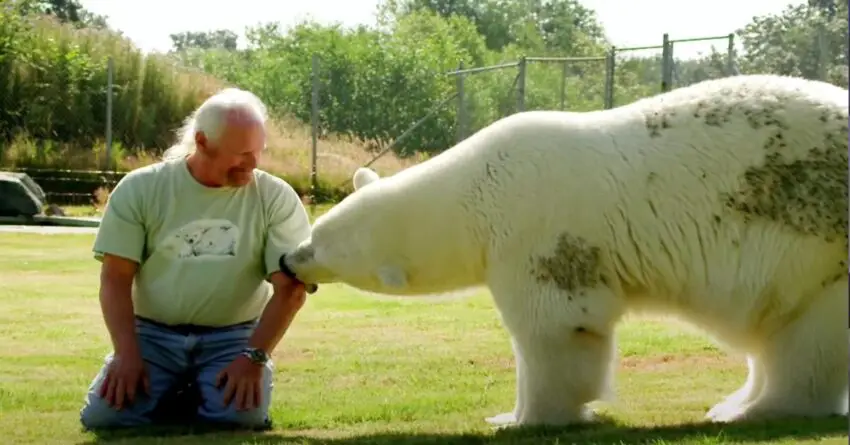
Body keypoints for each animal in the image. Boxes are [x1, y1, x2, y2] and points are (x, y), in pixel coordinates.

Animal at [280, 75, 848, 426]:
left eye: (319, 244)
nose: (287, 260)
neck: (476, 188)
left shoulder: (536, 234)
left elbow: (556, 326)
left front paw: (519, 418)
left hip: (822, 248)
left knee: (807, 338)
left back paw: (756, 409)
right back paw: (735, 402)